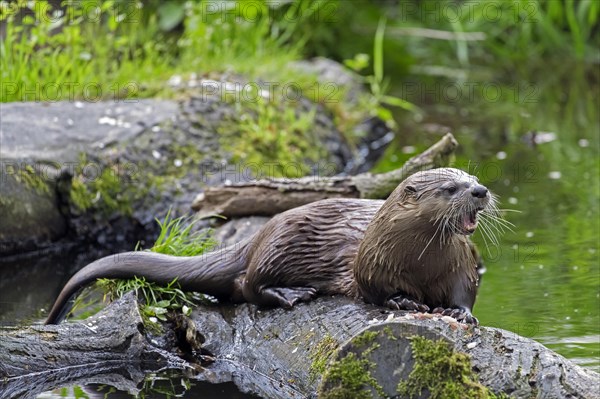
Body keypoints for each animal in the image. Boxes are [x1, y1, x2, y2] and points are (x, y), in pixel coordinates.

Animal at [45, 167, 496, 326]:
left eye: (473, 177)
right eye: (451, 188)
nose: (480, 190)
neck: (421, 265)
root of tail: (254, 239)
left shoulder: (462, 267)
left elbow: (466, 292)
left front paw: (458, 312)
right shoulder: (372, 265)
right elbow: (375, 292)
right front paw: (403, 301)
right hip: (280, 244)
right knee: (248, 286)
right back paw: (292, 293)